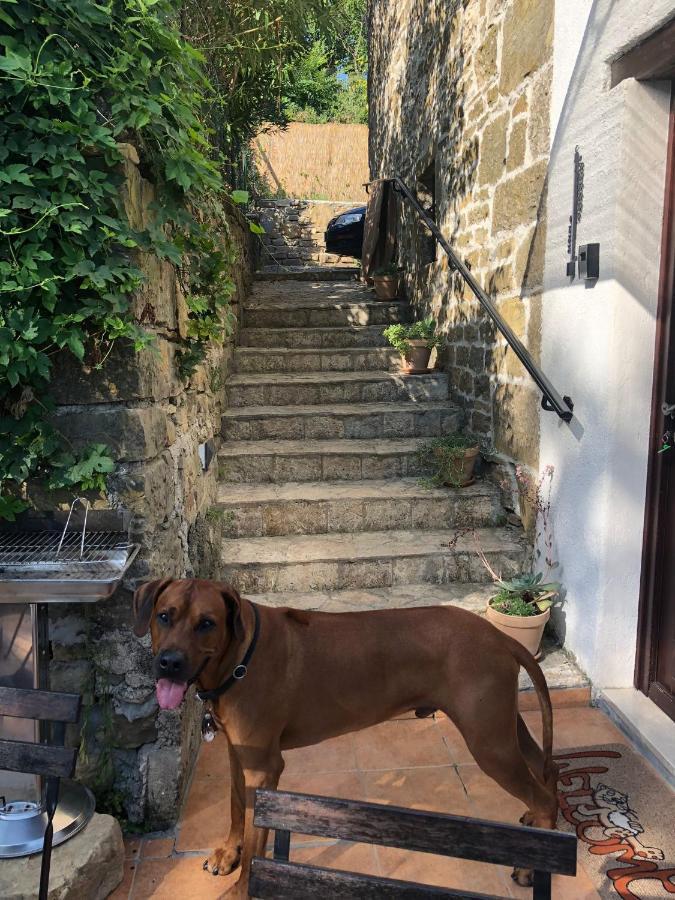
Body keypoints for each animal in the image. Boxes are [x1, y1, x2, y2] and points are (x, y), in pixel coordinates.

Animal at [133, 580, 560, 896]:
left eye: (207, 623)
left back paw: (532, 865)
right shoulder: (239, 753)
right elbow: (237, 806)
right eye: (164, 616)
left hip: (488, 742)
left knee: (540, 791)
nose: (168, 662)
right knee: (546, 769)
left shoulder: (264, 768)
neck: (238, 659)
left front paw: (240, 890)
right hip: (501, 727)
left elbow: (257, 841)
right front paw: (228, 851)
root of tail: (500, 637)